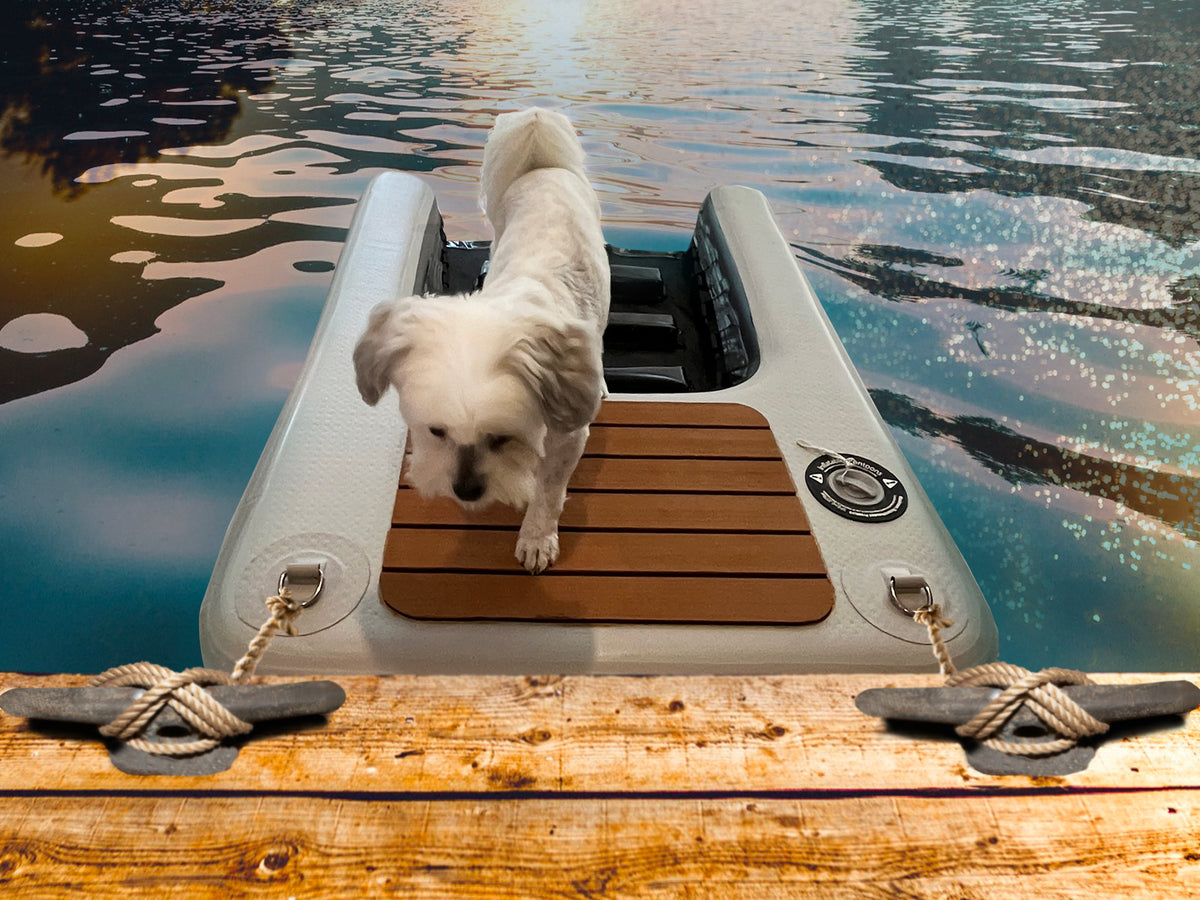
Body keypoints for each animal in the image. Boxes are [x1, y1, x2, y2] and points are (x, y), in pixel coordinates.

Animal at [350, 109, 604, 573]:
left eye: (502, 437)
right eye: (436, 431)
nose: (465, 490)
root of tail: (542, 163)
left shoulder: (569, 436)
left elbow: (548, 490)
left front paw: (537, 537)